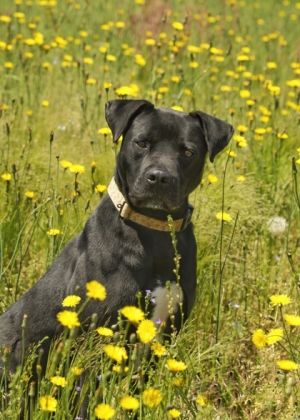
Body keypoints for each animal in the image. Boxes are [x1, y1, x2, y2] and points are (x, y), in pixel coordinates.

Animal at [0, 101, 233, 370]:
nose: (159, 177)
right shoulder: (102, 330)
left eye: (188, 152)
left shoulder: (168, 328)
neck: (154, 229)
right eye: (141, 142)